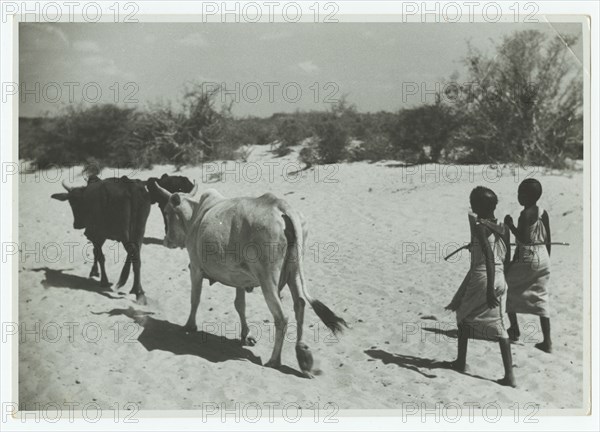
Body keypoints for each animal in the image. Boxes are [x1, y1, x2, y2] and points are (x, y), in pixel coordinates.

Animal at [51, 175, 152, 304]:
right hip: (139, 230)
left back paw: (136, 290)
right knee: (136, 256)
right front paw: (95, 271)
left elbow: (99, 255)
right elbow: (96, 253)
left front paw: (103, 279)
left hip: (124, 234)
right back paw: (138, 290)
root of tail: (129, 186)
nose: (76, 225)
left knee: (132, 252)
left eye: (72, 203)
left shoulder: (95, 234)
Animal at [154, 182, 346, 378]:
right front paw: (246, 335)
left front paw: (189, 325)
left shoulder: (195, 267)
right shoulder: (239, 279)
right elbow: (240, 305)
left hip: (268, 278)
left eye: (167, 212)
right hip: (294, 272)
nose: (166, 240)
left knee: (281, 317)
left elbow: (195, 298)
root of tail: (281, 206)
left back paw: (274, 360)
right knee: (299, 304)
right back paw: (303, 355)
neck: (195, 215)